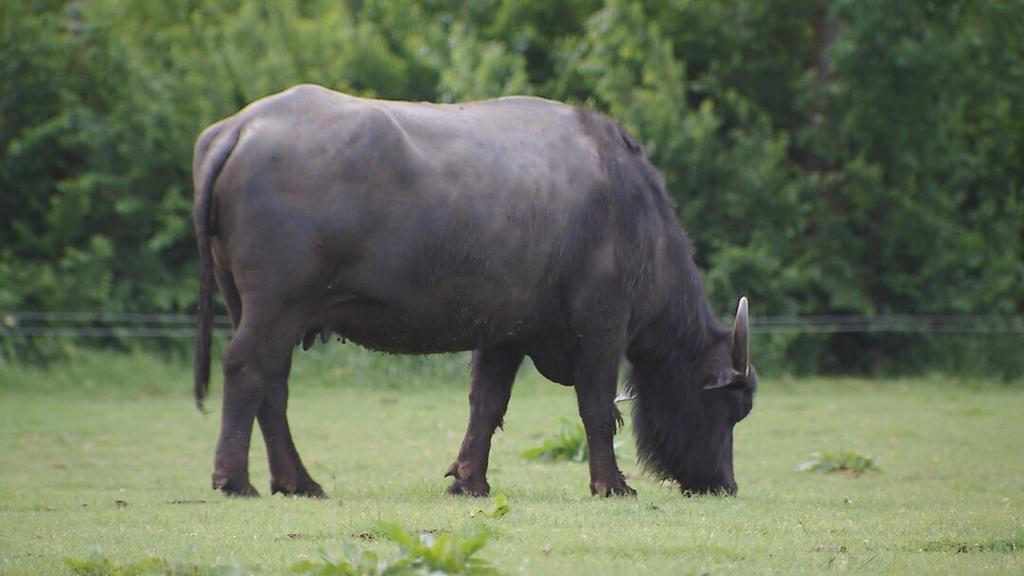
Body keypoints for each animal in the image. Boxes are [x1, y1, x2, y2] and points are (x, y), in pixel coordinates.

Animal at [193, 84, 756, 498]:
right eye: (733, 409)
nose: (725, 485)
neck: (635, 217)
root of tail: (239, 128)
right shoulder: (603, 326)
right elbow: (597, 407)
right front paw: (612, 485)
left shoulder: (505, 333)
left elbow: (486, 403)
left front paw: (469, 480)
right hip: (276, 306)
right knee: (247, 368)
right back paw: (235, 480)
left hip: (255, 307)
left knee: (272, 383)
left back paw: (296, 481)